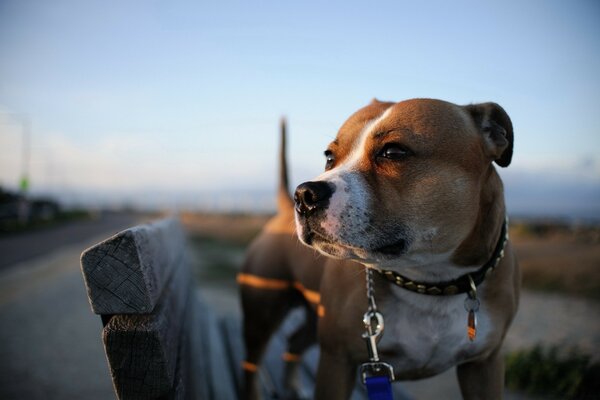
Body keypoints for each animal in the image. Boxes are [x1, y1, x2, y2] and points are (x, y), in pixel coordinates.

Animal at [239, 97, 520, 400]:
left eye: (393, 152)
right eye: (329, 157)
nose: (304, 195)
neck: (429, 279)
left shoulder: (484, 365)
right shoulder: (337, 360)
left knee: (294, 341)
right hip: (261, 316)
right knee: (251, 363)